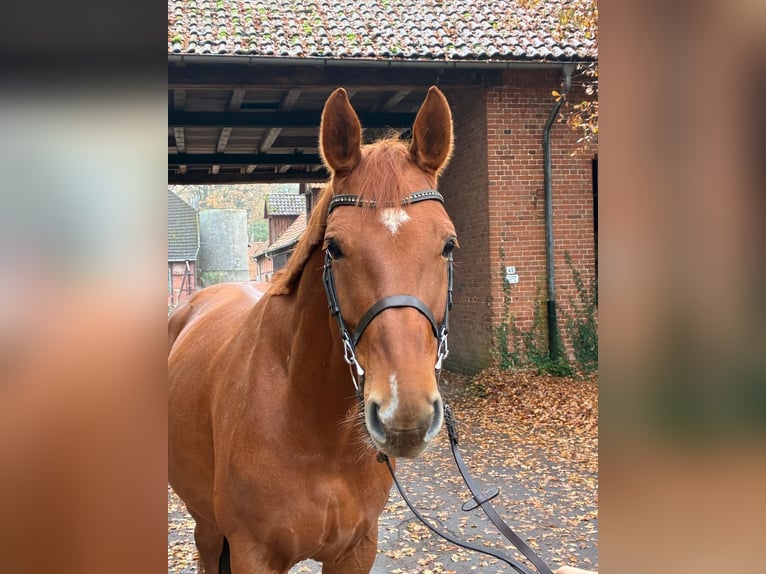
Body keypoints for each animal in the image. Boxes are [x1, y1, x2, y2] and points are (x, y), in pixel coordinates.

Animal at [168, 86, 457, 573]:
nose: (404, 414)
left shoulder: (357, 549)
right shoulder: (253, 554)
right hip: (204, 521)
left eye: (448, 245)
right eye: (335, 247)